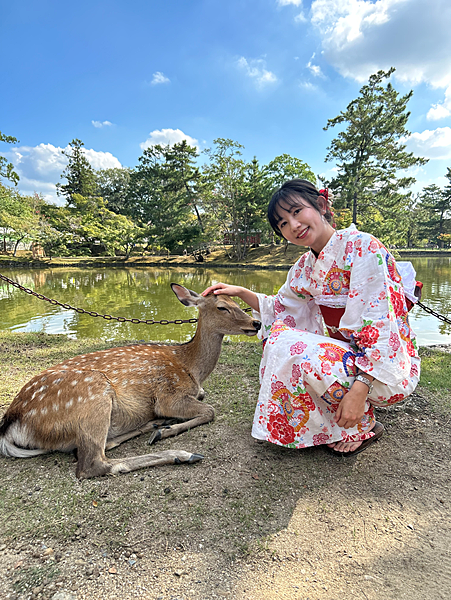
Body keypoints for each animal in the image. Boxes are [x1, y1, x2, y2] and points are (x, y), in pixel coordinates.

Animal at [0, 284, 262, 478]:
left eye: (237, 303)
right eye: (222, 307)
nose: (256, 323)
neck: (191, 368)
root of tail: (11, 424)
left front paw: (164, 427)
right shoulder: (168, 394)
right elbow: (210, 411)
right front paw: (168, 431)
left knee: (99, 446)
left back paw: (155, 425)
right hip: (93, 394)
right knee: (92, 464)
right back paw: (181, 452)